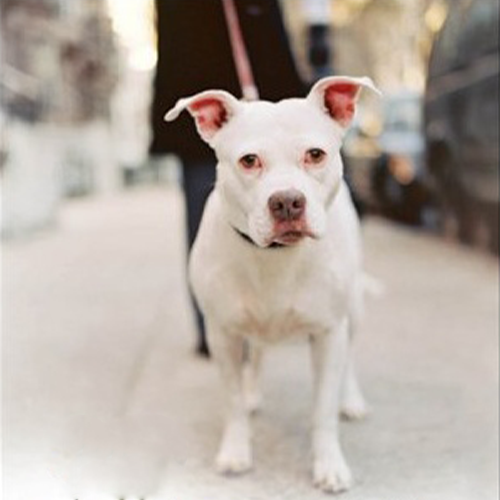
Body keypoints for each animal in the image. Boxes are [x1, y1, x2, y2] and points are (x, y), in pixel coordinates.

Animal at [164, 76, 378, 494]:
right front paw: (235, 451)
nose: (288, 202)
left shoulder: (329, 333)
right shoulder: (222, 333)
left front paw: (329, 465)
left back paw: (351, 399)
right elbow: (231, 401)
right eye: (249, 160)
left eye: (315, 154)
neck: (275, 257)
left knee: (349, 359)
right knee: (258, 353)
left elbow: (323, 409)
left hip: (355, 311)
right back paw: (253, 392)